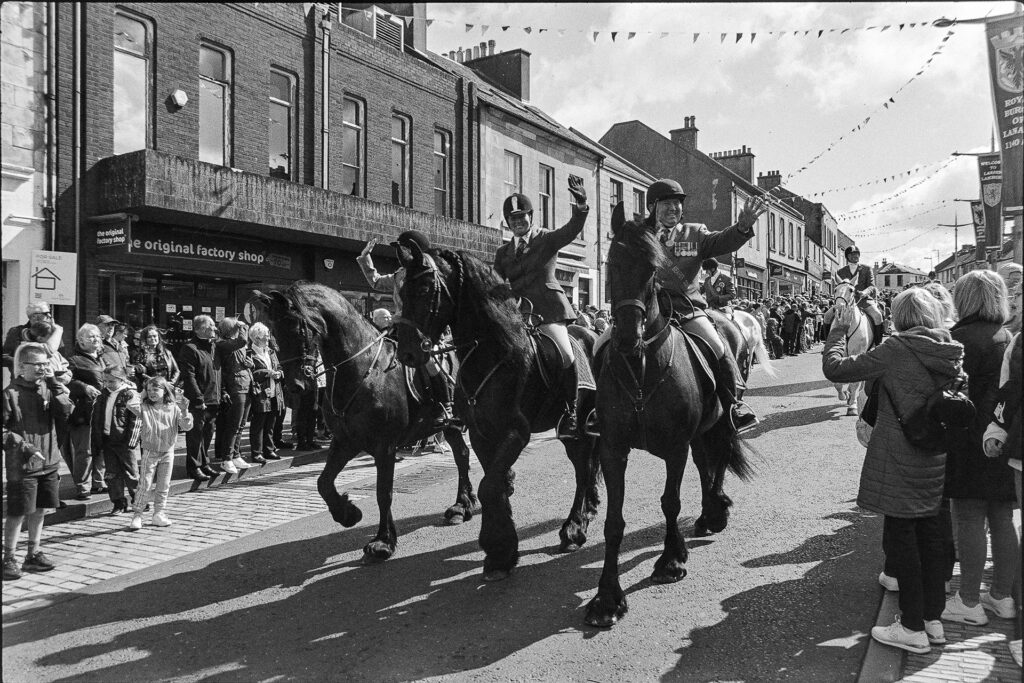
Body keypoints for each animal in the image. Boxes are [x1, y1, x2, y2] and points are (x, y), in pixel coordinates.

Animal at [256, 280, 479, 565]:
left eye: (299, 327)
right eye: (273, 332)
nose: (295, 385)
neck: (363, 370)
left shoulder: (385, 446)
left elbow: (383, 492)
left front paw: (383, 542)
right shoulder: (346, 441)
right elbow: (323, 483)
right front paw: (348, 513)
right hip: (449, 427)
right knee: (462, 455)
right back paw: (462, 505)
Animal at [389, 242, 598, 581]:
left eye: (424, 289)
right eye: (401, 291)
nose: (406, 352)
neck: (493, 353)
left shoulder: (516, 432)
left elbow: (489, 486)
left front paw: (499, 551)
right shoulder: (481, 433)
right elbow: (493, 481)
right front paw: (502, 550)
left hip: (577, 424)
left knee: (582, 468)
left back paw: (574, 528)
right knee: (588, 466)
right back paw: (589, 509)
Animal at [581, 205, 757, 626]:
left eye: (652, 268)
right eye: (612, 263)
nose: (628, 337)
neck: (642, 369)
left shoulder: (675, 447)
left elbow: (670, 502)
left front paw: (671, 561)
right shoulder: (613, 450)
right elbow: (614, 521)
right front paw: (607, 597)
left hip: (720, 420)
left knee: (719, 458)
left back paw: (715, 511)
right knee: (707, 462)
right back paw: (710, 510)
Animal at [827, 278, 868, 417]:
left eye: (851, 290)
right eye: (835, 289)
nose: (839, 309)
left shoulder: (858, 354)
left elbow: (855, 383)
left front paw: (853, 406)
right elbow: (837, 383)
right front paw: (843, 395)